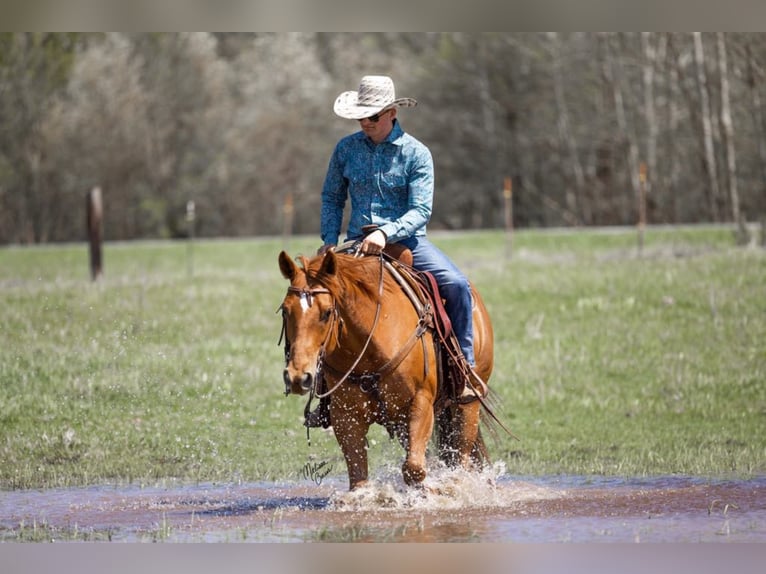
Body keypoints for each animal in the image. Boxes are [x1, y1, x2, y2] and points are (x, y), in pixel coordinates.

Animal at [280, 248, 496, 490]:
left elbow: (414, 468)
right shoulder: (346, 416)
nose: (298, 377)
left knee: (462, 456)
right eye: (285, 311)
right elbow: (359, 479)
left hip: (467, 405)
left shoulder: (420, 403)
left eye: (327, 312)